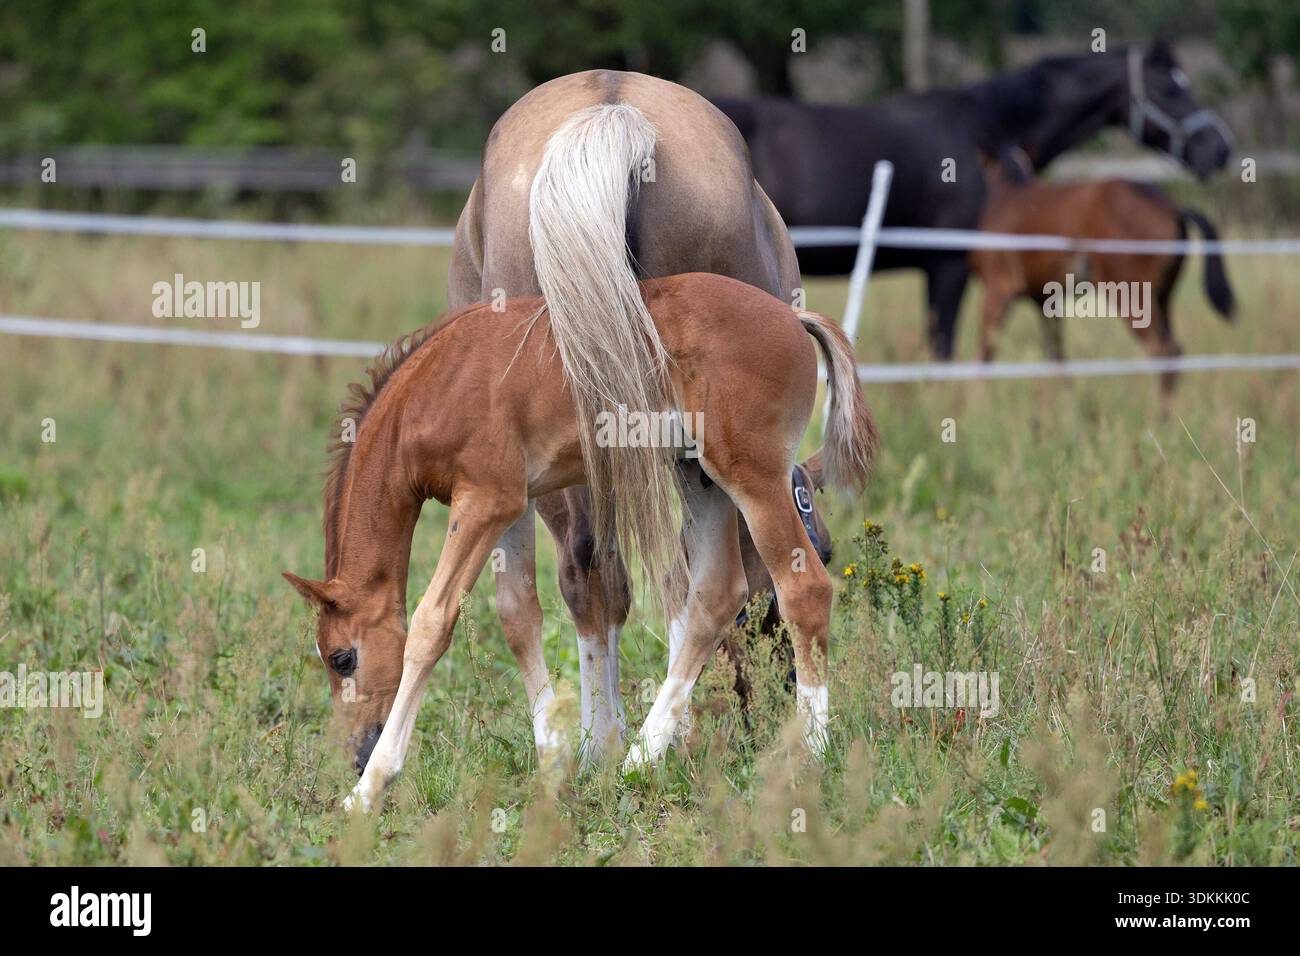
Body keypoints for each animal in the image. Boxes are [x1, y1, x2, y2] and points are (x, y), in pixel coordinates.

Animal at [283, 272, 878, 812]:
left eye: (341, 658)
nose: (356, 753)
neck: (436, 386)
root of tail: (793, 318)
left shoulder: (484, 501)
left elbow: (432, 622)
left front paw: (369, 788)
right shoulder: (510, 506)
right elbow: (518, 616)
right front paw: (552, 762)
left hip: (752, 475)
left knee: (804, 590)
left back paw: (809, 755)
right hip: (697, 475)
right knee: (716, 595)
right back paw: (640, 757)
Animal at [971, 175, 1236, 392]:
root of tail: (1173, 208)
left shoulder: (999, 290)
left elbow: (985, 352)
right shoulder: (1045, 299)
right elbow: (1056, 354)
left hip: (1130, 295)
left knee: (1163, 352)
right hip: (1162, 297)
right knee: (1173, 351)